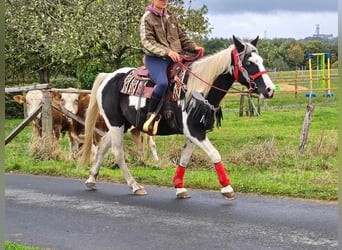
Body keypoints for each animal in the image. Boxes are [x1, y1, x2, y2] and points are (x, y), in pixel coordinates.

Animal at [78, 35, 276, 200]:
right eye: (249, 62)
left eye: (261, 61)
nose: (270, 89)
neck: (197, 89)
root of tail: (108, 77)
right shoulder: (194, 131)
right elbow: (214, 154)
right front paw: (227, 188)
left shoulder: (194, 132)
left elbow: (184, 159)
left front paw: (180, 187)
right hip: (116, 124)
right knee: (118, 152)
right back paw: (135, 186)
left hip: (121, 124)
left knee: (104, 145)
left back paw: (91, 179)